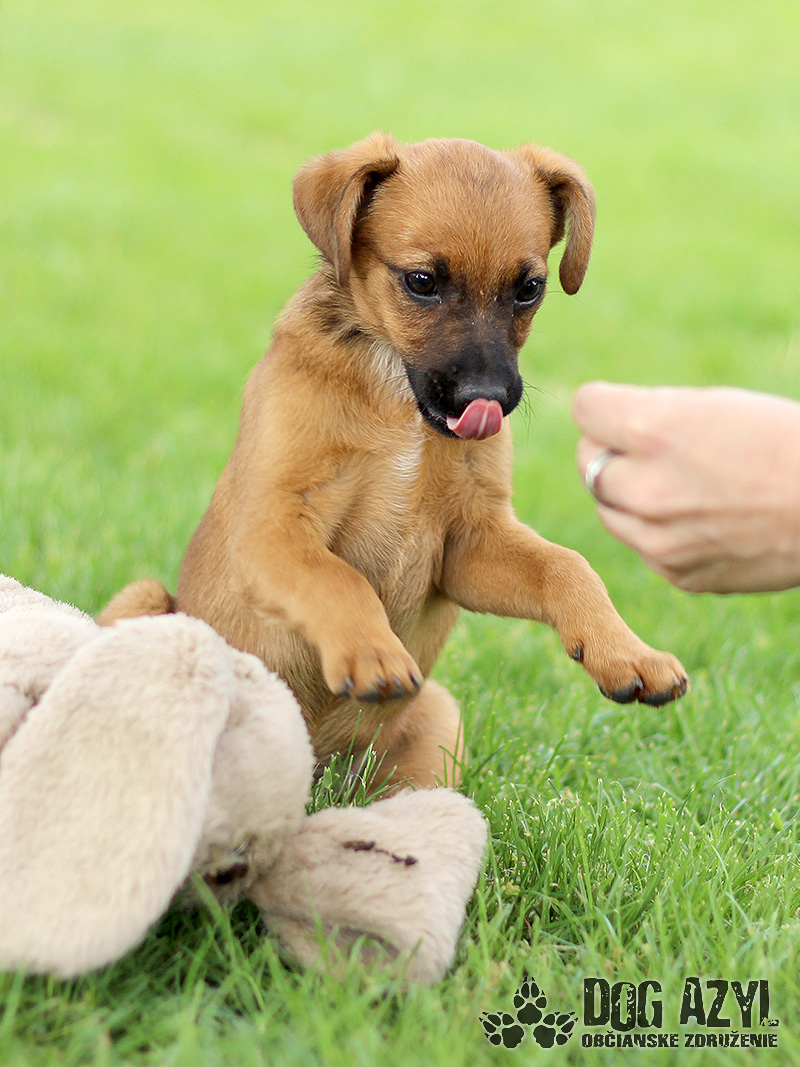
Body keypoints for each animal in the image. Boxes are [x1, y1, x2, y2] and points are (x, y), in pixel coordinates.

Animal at [101, 133, 688, 791]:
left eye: (529, 288)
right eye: (422, 281)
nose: (487, 398)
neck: (396, 395)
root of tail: (318, 780)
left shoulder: (469, 541)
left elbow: (568, 567)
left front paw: (626, 653)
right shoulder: (273, 526)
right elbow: (339, 578)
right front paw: (372, 651)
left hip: (437, 718)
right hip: (141, 603)